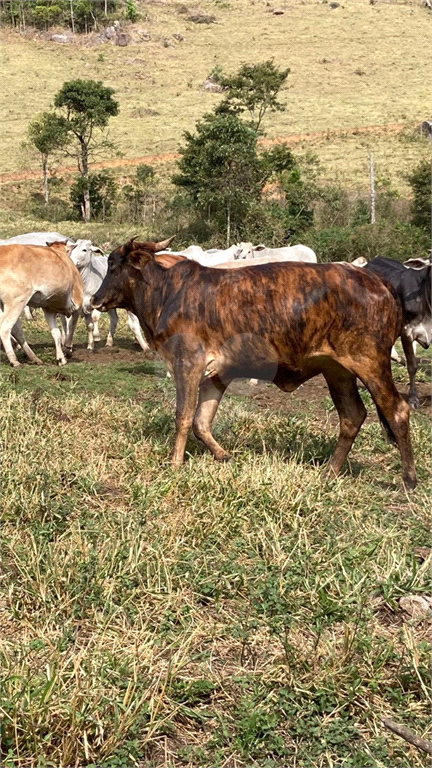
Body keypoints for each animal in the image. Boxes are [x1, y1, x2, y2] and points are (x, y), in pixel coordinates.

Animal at [92, 237, 418, 488]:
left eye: (113, 264)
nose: (95, 299)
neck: (167, 292)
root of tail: (379, 282)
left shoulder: (188, 362)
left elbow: (184, 417)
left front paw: (175, 463)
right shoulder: (217, 373)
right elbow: (201, 422)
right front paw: (223, 455)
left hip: (370, 362)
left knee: (397, 409)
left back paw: (409, 478)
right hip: (336, 370)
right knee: (352, 416)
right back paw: (330, 470)